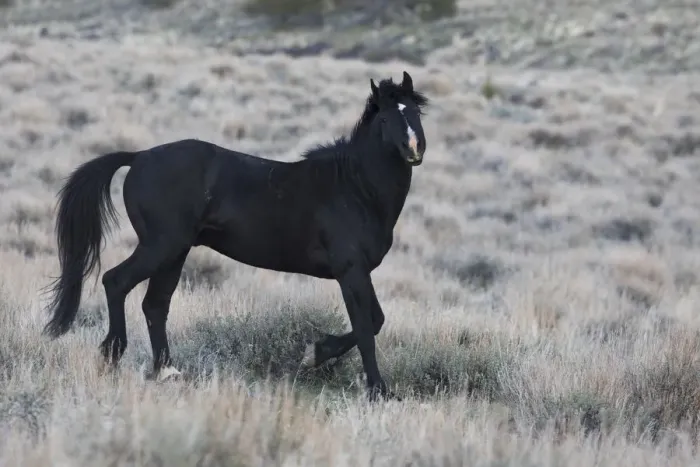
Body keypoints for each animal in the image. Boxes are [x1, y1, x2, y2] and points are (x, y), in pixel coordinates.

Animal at [43, 71, 429, 401]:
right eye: (385, 119)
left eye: (415, 112)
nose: (414, 149)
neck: (355, 189)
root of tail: (138, 157)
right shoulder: (350, 271)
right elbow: (366, 328)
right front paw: (375, 388)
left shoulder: (359, 272)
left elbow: (375, 321)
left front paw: (316, 354)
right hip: (161, 246)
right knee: (116, 281)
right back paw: (112, 353)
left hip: (175, 252)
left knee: (155, 304)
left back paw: (167, 371)